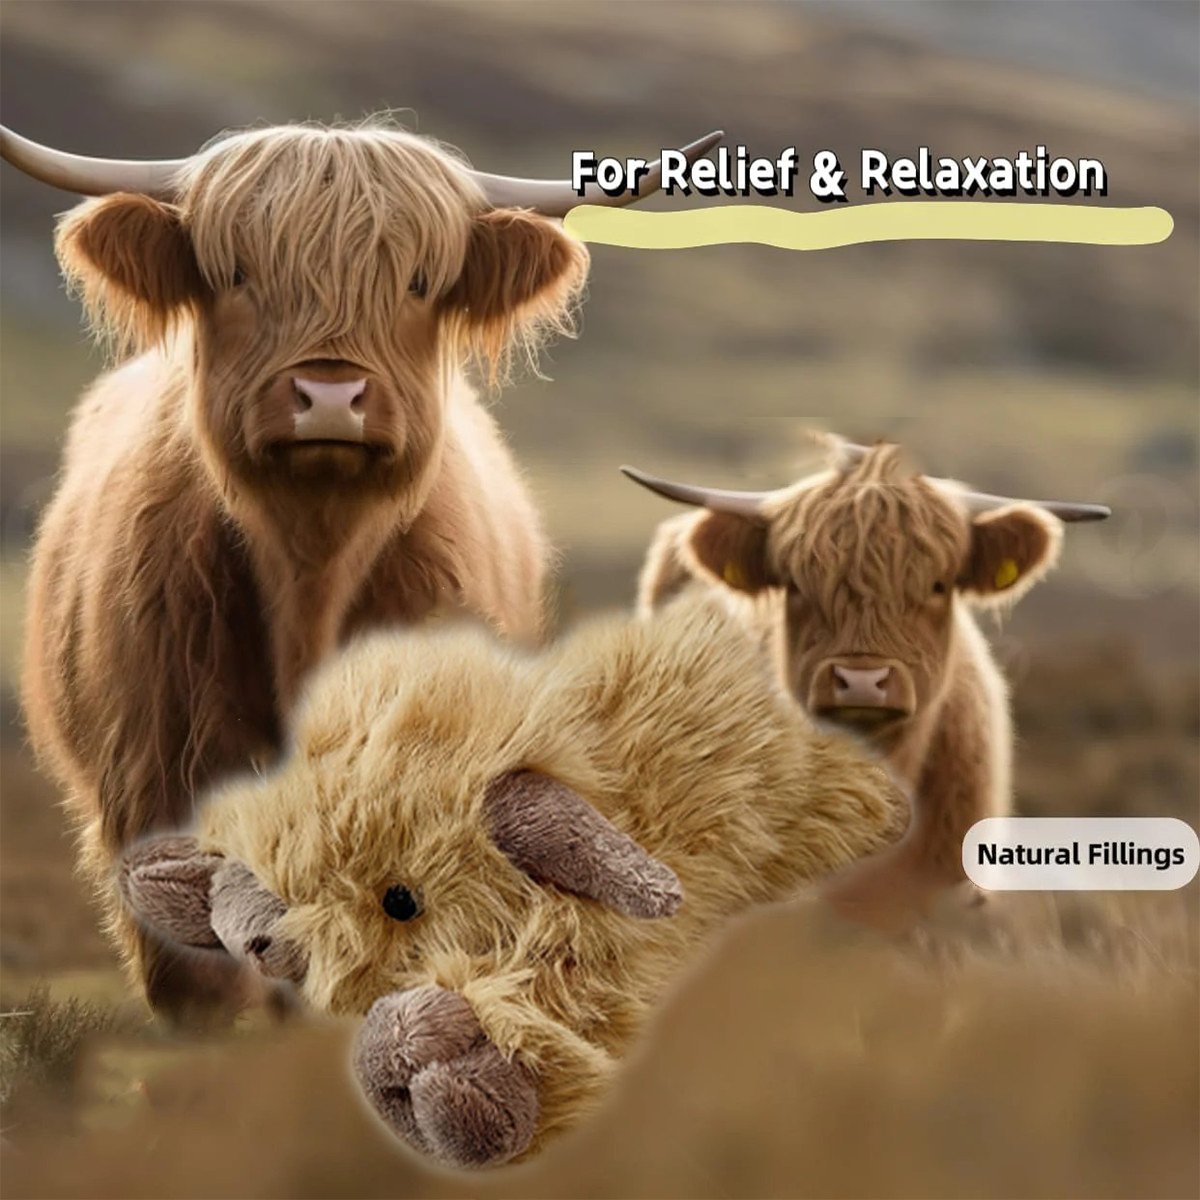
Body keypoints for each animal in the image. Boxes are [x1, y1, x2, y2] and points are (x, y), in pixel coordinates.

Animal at [2, 119, 721, 1023]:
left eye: (417, 281)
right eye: (237, 273)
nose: (330, 394)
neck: (310, 577)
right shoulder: (153, 773)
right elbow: (196, 973)